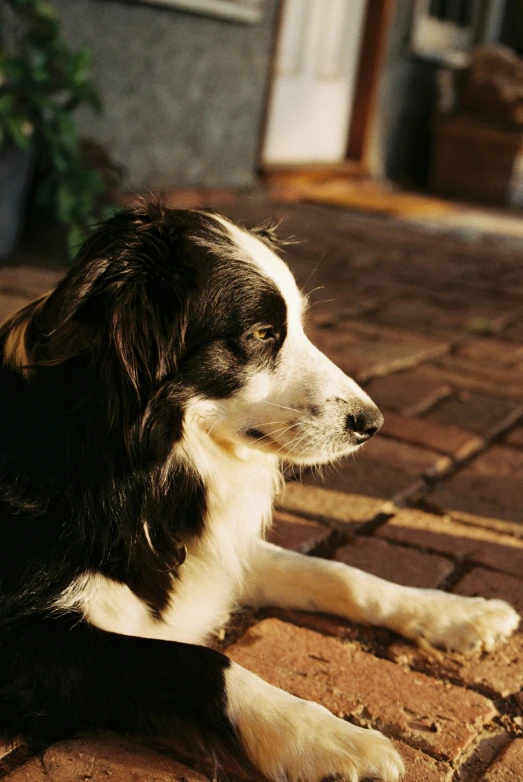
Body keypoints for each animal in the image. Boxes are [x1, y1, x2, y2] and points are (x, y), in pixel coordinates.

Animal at [1, 205, 520, 782]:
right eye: (262, 332)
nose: (373, 423)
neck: (134, 462)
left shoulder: (213, 553)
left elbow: (338, 573)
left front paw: (457, 612)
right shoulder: (21, 644)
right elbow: (201, 662)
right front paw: (328, 739)